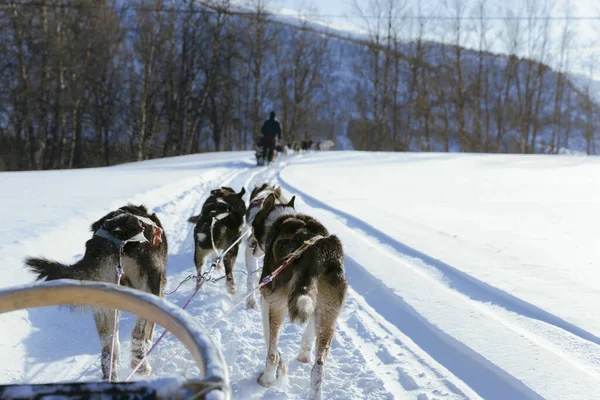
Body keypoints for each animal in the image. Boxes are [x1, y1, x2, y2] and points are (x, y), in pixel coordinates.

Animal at [24, 205, 168, 382]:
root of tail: (119, 234)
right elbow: (148, 333)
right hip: (148, 292)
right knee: (137, 334)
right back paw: (141, 366)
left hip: (104, 304)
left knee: (108, 349)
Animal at [251, 194, 350, 396]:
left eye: (253, 224)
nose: (251, 246)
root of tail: (317, 252)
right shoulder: (315, 305)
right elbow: (308, 334)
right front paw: (304, 355)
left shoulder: (267, 297)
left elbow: (269, 340)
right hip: (328, 313)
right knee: (318, 369)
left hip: (278, 304)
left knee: (272, 354)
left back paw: (266, 379)